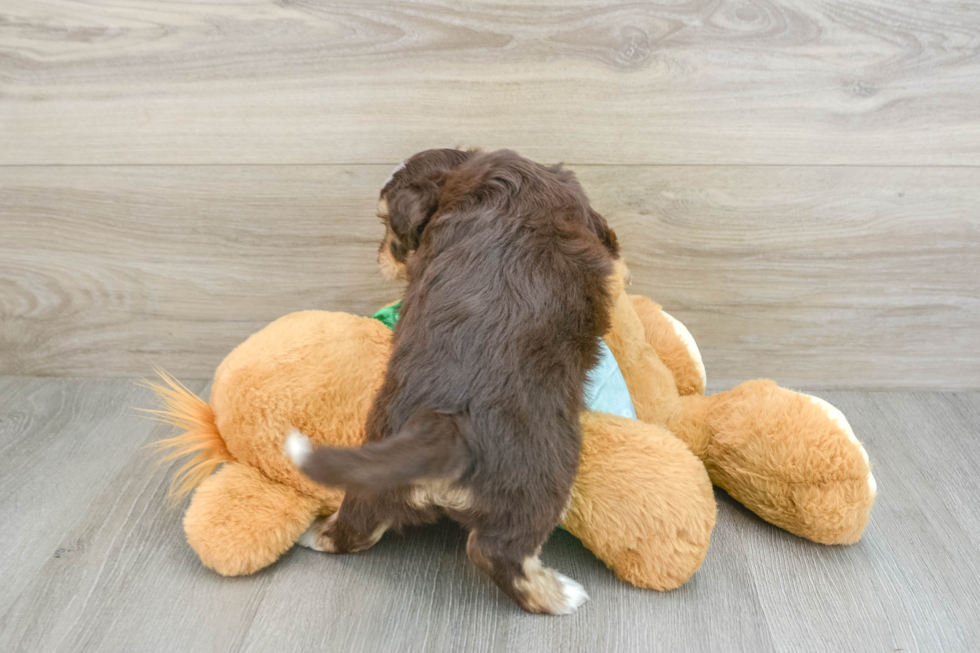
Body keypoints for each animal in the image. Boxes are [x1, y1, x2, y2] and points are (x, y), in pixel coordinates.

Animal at [288, 148, 616, 612]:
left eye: (392, 228)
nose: (381, 256)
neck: (463, 176)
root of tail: (442, 425)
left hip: (374, 477)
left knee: (355, 527)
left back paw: (316, 534)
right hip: (542, 479)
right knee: (497, 551)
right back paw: (559, 595)